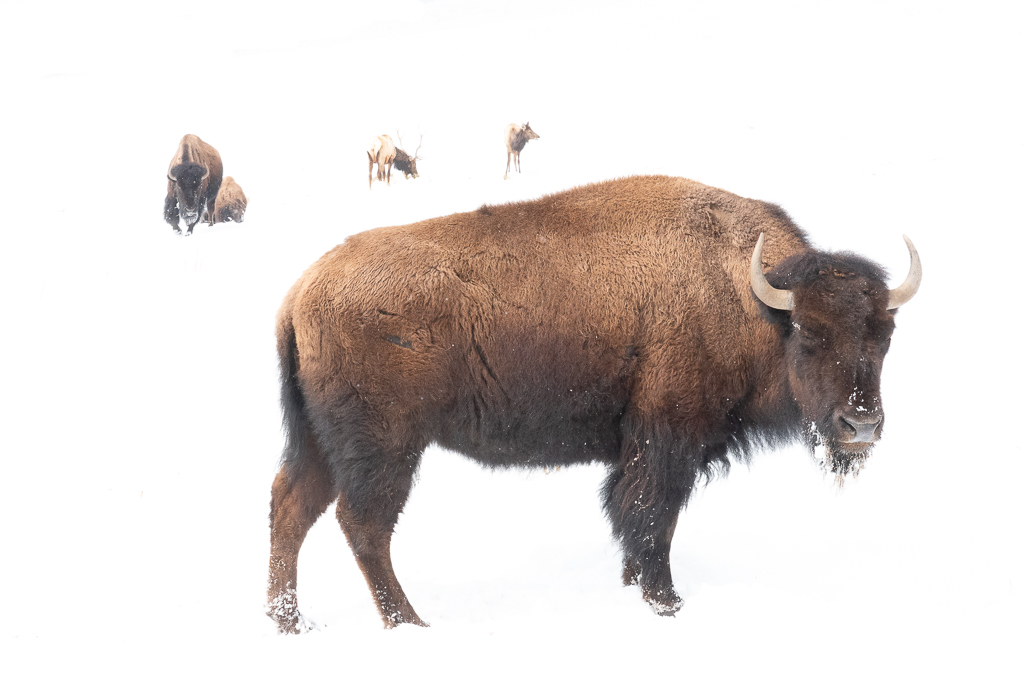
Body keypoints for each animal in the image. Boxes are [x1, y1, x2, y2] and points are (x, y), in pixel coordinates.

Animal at [266, 175, 921, 633]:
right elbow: (652, 517)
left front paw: (635, 591)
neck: (748, 296)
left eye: (885, 336)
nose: (860, 424)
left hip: (319, 442)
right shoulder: (667, 440)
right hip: (387, 447)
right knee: (363, 523)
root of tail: (301, 292)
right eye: (809, 333)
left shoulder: (643, 448)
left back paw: (291, 623)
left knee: (291, 508)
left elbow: (636, 519)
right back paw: (409, 623)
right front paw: (666, 603)